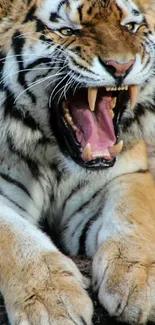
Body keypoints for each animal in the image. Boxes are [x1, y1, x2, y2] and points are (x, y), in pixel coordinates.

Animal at [0, 0, 155, 322]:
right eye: (67, 31)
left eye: (130, 27)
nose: (121, 67)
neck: (55, 157)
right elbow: (15, 237)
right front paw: (52, 303)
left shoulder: (126, 175)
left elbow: (133, 216)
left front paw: (137, 282)